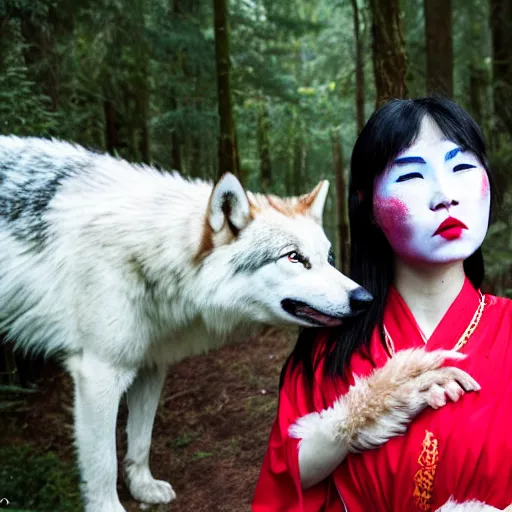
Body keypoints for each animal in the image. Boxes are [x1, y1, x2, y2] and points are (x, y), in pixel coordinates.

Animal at [0, 136, 484, 512]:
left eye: (328, 257)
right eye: (294, 258)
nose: (364, 299)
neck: (151, 252)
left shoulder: (151, 363)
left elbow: (138, 441)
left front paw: (144, 488)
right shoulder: (98, 372)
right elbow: (102, 464)